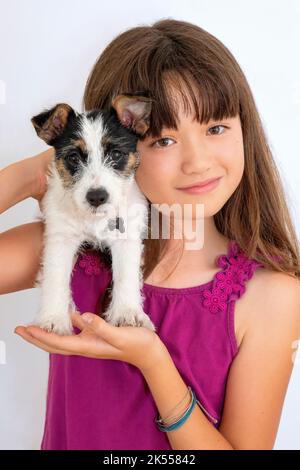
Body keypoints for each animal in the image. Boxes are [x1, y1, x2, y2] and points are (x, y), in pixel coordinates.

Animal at [31, 92, 155, 334]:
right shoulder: (60, 237)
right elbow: (55, 276)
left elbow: (126, 274)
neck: (94, 218)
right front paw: (54, 318)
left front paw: (127, 313)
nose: (97, 197)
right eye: (73, 157)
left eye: (115, 154)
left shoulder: (127, 237)